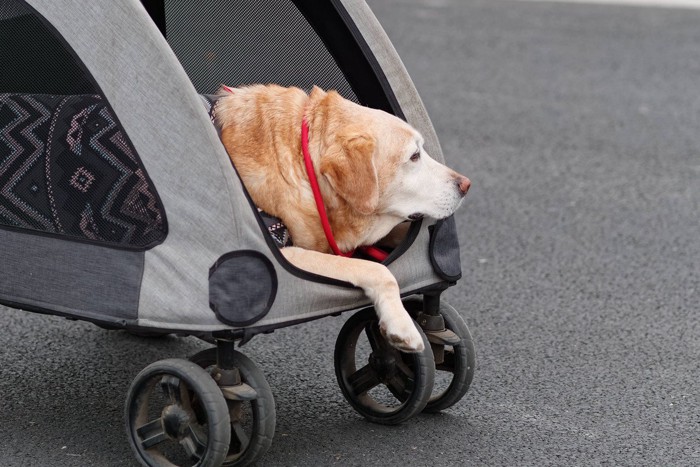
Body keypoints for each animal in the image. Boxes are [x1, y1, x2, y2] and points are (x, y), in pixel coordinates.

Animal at [216, 85, 468, 352]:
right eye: (414, 156)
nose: (466, 185)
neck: (303, 163)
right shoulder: (285, 255)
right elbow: (377, 269)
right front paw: (401, 326)